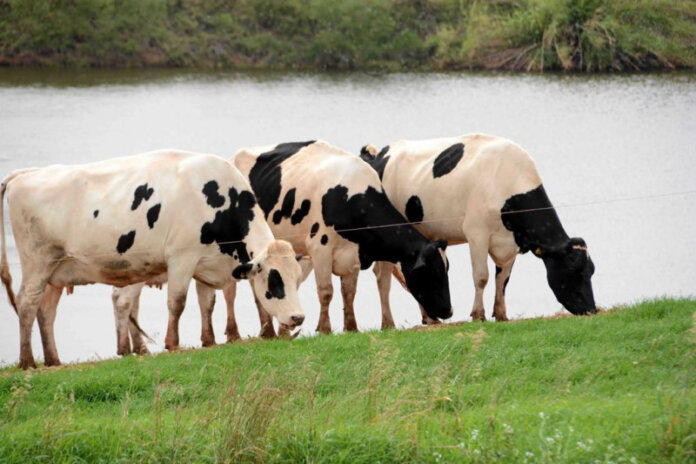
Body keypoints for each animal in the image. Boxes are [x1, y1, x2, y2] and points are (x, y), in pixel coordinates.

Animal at [0, 150, 304, 368]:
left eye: (296, 277)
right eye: (273, 279)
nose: (298, 317)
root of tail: (24, 174)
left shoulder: (204, 263)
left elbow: (207, 303)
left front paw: (208, 340)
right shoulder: (181, 258)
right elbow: (177, 303)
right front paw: (172, 343)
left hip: (56, 272)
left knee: (46, 312)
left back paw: (52, 359)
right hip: (37, 263)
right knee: (27, 304)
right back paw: (27, 361)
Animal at [231, 139, 454, 334]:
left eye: (446, 269)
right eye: (431, 272)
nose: (448, 311)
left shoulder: (354, 253)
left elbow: (349, 292)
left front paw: (351, 327)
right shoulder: (319, 247)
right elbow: (326, 291)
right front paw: (324, 329)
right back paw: (267, 331)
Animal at [362, 134, 596, 322]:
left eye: (591, 270)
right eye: (574, 270)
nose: (591, 310)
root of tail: (381, 154)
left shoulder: (511, 243)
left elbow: (503, 279)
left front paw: (501, 313)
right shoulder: (477, 234)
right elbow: (481, 276)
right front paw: (478, 315)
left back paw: (429, 318)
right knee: (383, 277)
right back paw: (389, 323)